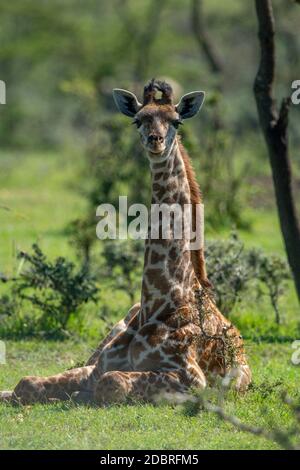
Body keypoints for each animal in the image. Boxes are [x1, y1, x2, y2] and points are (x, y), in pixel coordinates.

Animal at [0, 79, 252, 406]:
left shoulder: (191, 378)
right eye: (138, 120)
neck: (160, 302)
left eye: (176, 121)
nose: (156, 141)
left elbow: (111, 383)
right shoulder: (99, 365)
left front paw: (80, 395)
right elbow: (27, 383)